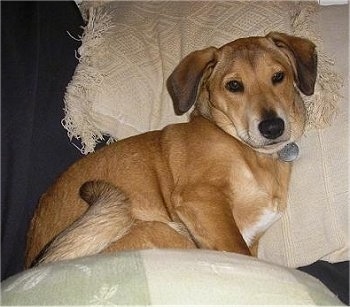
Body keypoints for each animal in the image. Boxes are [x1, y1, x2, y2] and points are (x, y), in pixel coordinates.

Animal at [25, 30, 318, 268]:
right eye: (234, 85)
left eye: (278, 76)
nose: (273, 127)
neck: (248, 152)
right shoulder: (201, 198)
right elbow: (238, 250)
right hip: (165, 231)